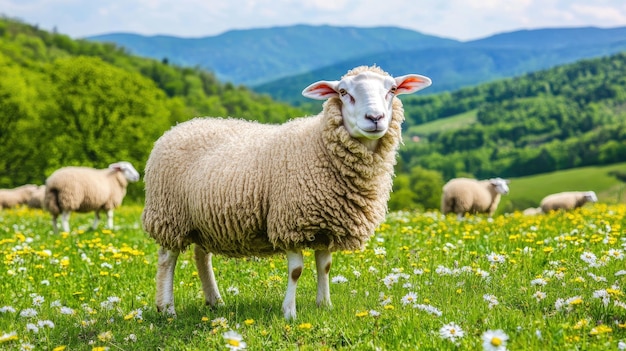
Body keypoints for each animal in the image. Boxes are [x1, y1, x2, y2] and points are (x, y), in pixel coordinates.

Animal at [143, 64, 428, 320]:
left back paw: (215, 301)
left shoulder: (326, 224)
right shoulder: (290, 222)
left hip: (203, 220)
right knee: (167, 259)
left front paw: (325, 305)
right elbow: (296, 271)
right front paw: (289, 312)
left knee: (201, 256)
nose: (375, 118)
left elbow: (325, 267)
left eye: (392, 89)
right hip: (169, 215)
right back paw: (167, 309)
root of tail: (179, 127)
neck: (318, 145)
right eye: (344, 92)